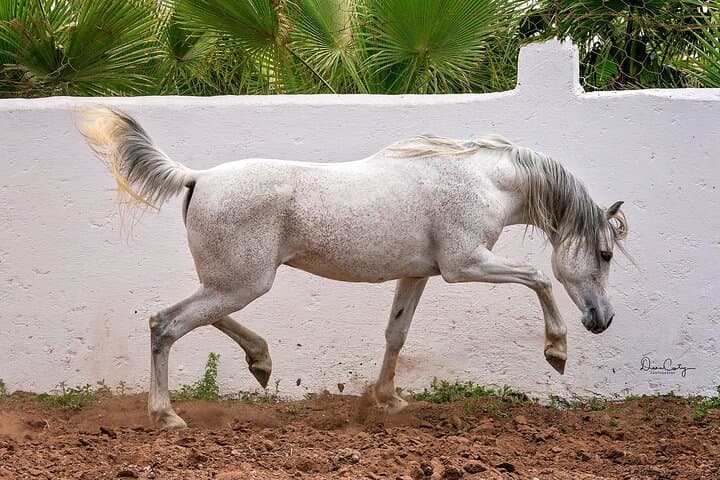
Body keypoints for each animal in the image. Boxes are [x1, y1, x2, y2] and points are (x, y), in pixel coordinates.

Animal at [77, 107, 628, 429]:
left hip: (232, 282)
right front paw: (556, 350)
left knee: (198, 318)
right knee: (165, 323)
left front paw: (388, 401)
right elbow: (538, 277)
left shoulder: (418, 274)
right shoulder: (465, 263)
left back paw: (261, 361)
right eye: (604, 254)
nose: (602, 320)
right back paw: (167, 416)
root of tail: (197, 178)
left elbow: (396, 334)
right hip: (242, 283)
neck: (483, 180)